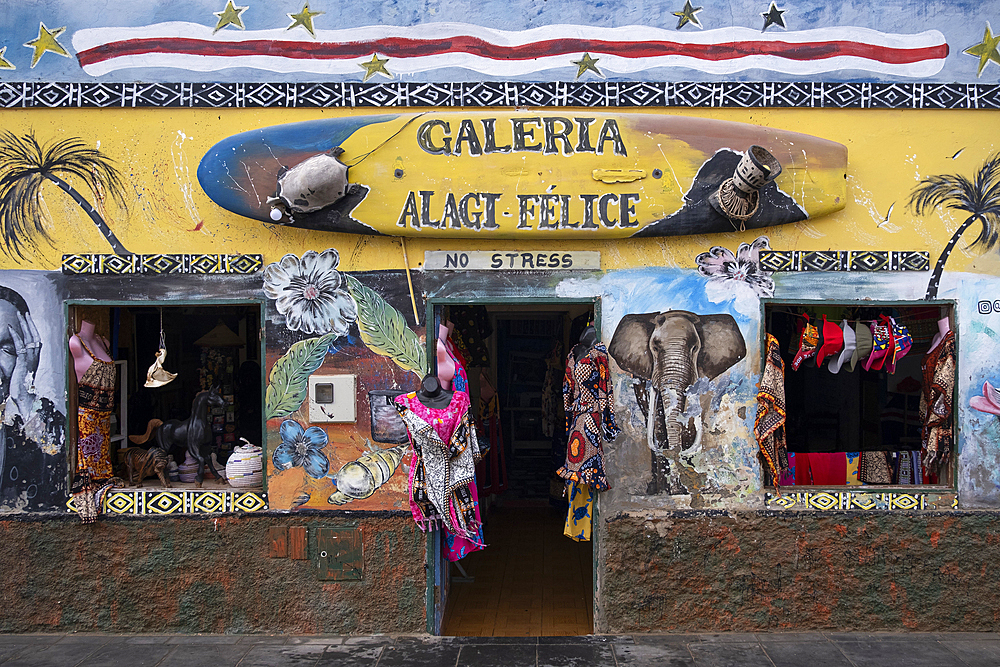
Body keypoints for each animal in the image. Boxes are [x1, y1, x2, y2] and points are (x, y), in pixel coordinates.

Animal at [608, 310, 744, 494]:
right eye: (655, 348)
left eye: (695, 348)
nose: (677, 489)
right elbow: (658, 423)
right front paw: (667, 491)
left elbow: (690, 422)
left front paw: (686, 487)